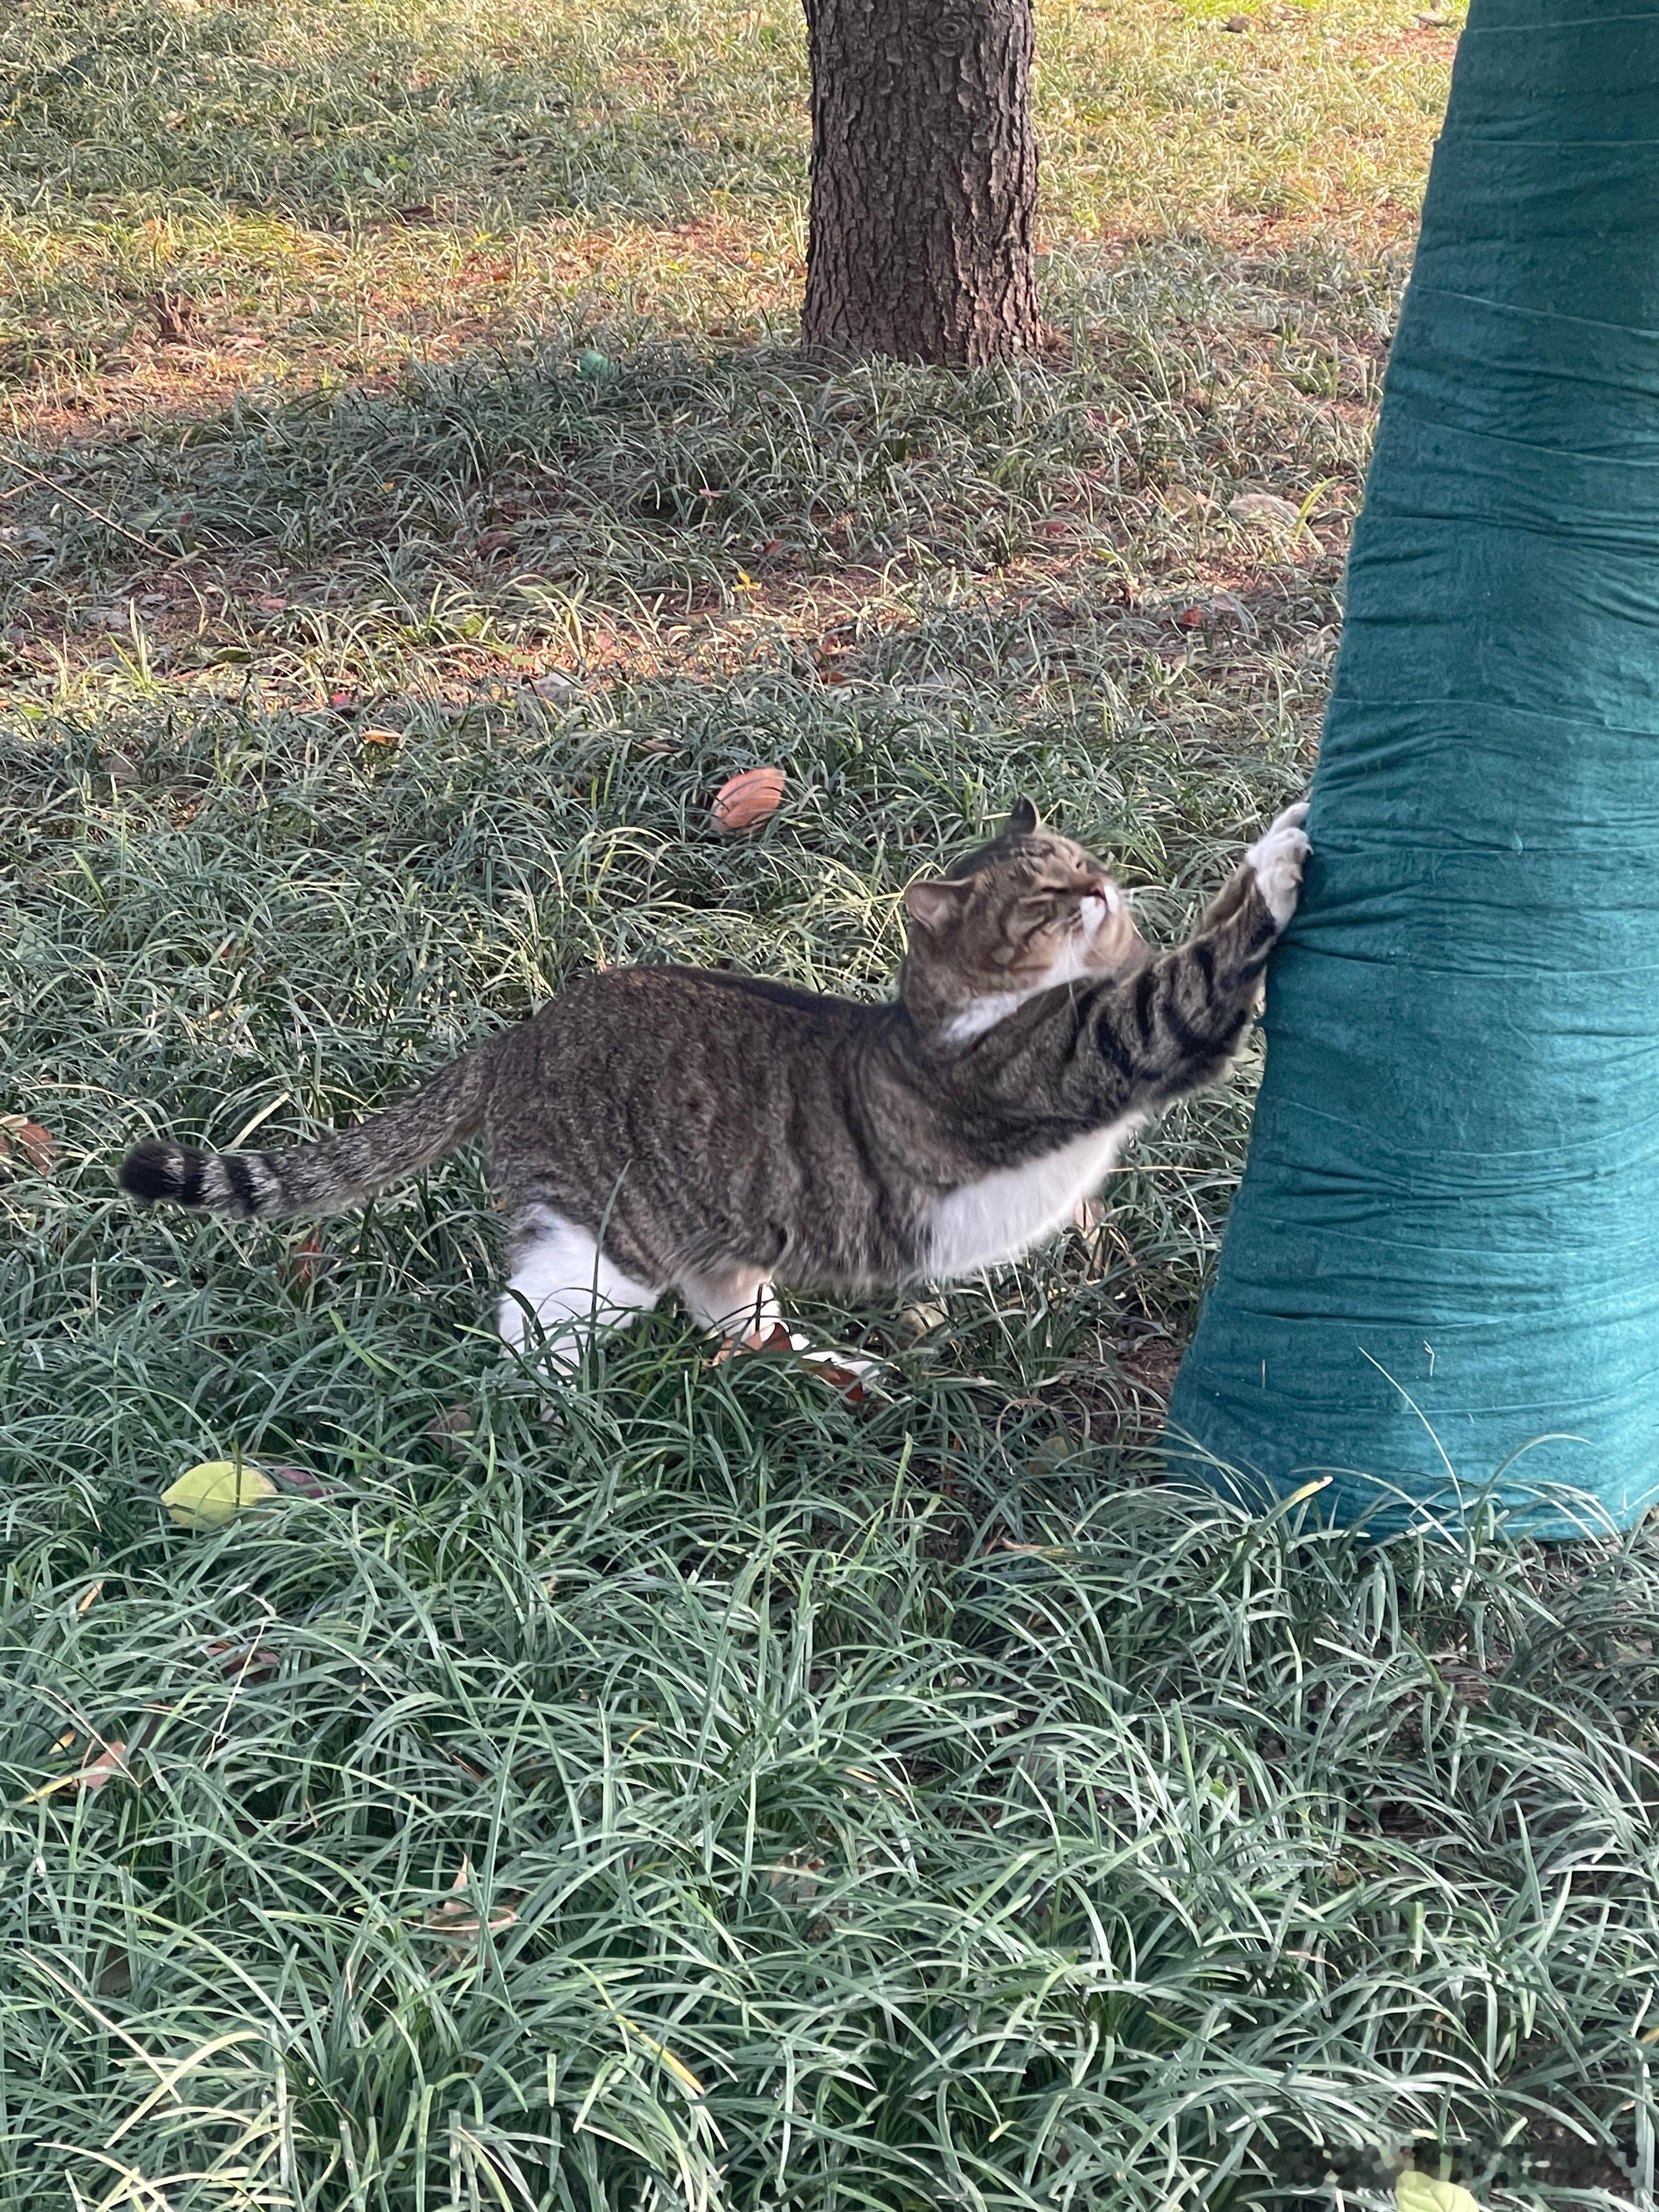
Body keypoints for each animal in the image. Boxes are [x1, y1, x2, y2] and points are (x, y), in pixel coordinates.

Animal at [120, 796, 1309, 1345]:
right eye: (1046, 895)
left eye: (1085, 863)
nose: (1101, 890)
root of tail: (523, 1032)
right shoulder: (1094, 1045)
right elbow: (1197, 970)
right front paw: (1280, 862)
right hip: (604, 1240)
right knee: (533, 1316)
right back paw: (551, 1418)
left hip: (716, 1234)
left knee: (726, 1303)